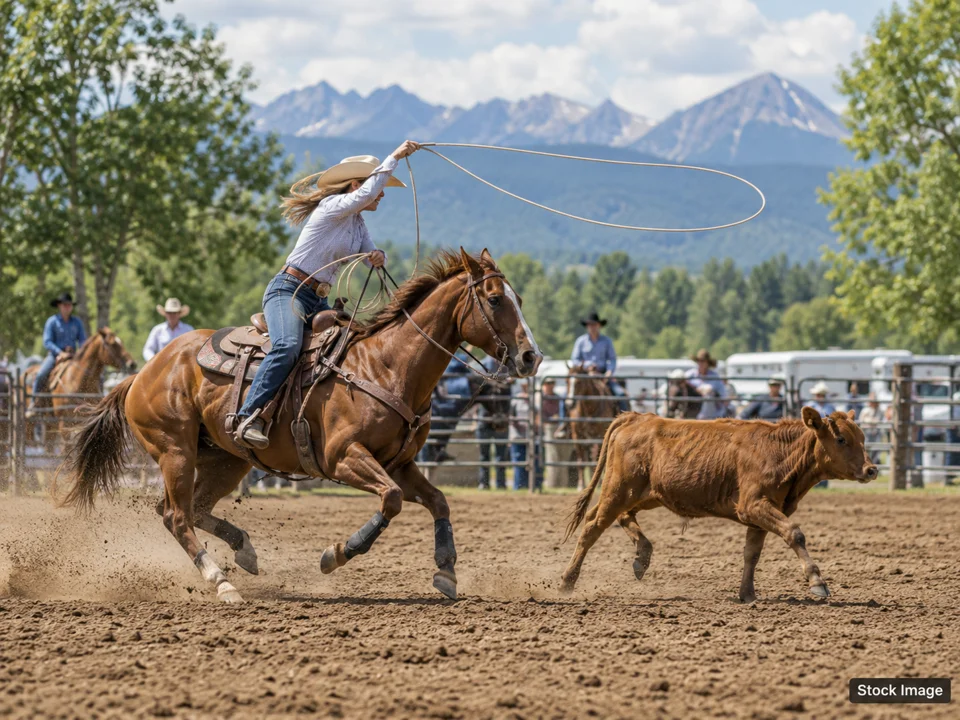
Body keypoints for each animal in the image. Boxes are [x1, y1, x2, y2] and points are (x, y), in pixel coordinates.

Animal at [58, 249, 542, 603]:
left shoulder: (400, 464)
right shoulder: (344, 458)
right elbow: (390, 500)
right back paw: (222, 582)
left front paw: (446, 571)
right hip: (175, 451)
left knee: (187, 509)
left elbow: (438, 501)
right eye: (495, 299)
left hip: (225, 459)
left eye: (520, 299)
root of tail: (142, 373)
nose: (530, 357)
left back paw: (245, 551)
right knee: (177, 517)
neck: (386, 366)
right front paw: (337, 554)